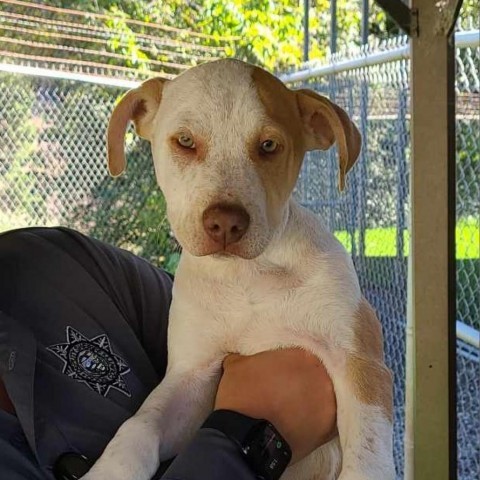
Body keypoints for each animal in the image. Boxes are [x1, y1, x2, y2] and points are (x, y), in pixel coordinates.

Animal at [83, 58, 398, 478]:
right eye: (185, 141)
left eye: (269, 146)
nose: (225, 223)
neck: (249, 275)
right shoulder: (192, 374)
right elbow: (140, 424)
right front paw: (108, 470)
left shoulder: (359, 361)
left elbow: (367, 459)